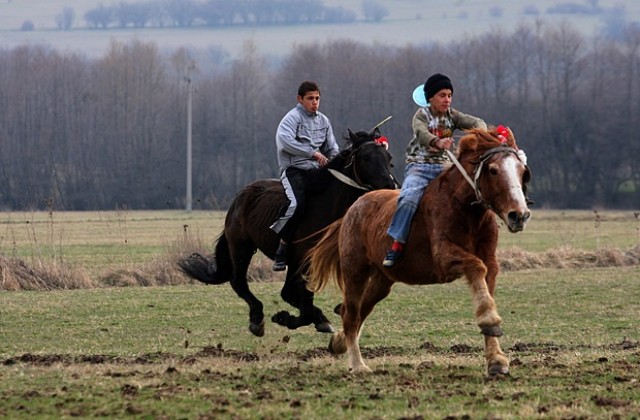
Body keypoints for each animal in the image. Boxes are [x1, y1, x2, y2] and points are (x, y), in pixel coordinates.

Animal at [178, 130, 398, 336]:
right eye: (366, 157)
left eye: (388, 158)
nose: (390, 185)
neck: (329, 205)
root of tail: (240, 197)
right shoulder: (307, 261)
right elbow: (306, 303)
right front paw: (287, 318)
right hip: (242, 247)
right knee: (239, 282)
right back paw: (257, 319)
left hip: (286, 261)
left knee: (285, 293)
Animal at [308, 126, 532, 376]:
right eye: (493, 170)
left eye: (522, 171)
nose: (519, 215)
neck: (463, 208)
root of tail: (352, 209)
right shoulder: (445, 259)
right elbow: (476, 268)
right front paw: (490, 322)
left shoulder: (490, 262)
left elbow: (485, 283)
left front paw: (496, 360)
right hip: (355, 271)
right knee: (352, 314)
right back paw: (358, 365)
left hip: (382, 280)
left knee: (357, 310)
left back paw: (338, 343)